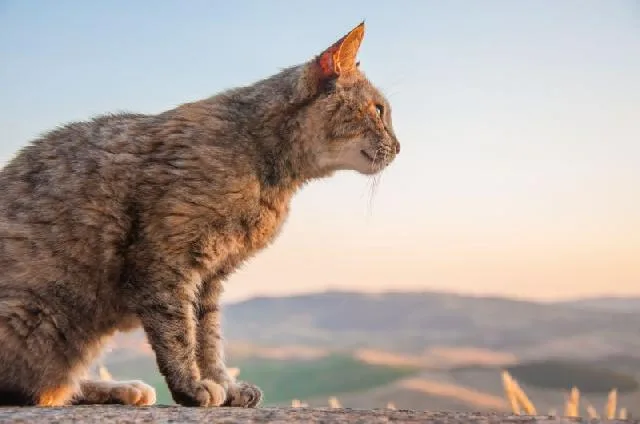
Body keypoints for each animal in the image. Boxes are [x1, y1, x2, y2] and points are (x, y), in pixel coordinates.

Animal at [0, 22, 400, 408]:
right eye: (379, 110)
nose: (398, 147)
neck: (271, 173)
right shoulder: (165, 260)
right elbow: (178, 330)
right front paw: (191, 387)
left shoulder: (211, 276)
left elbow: (208, 337)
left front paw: (225, 384)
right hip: (40, 316)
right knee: (34, 389)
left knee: (53, 388)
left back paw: (120, 388)